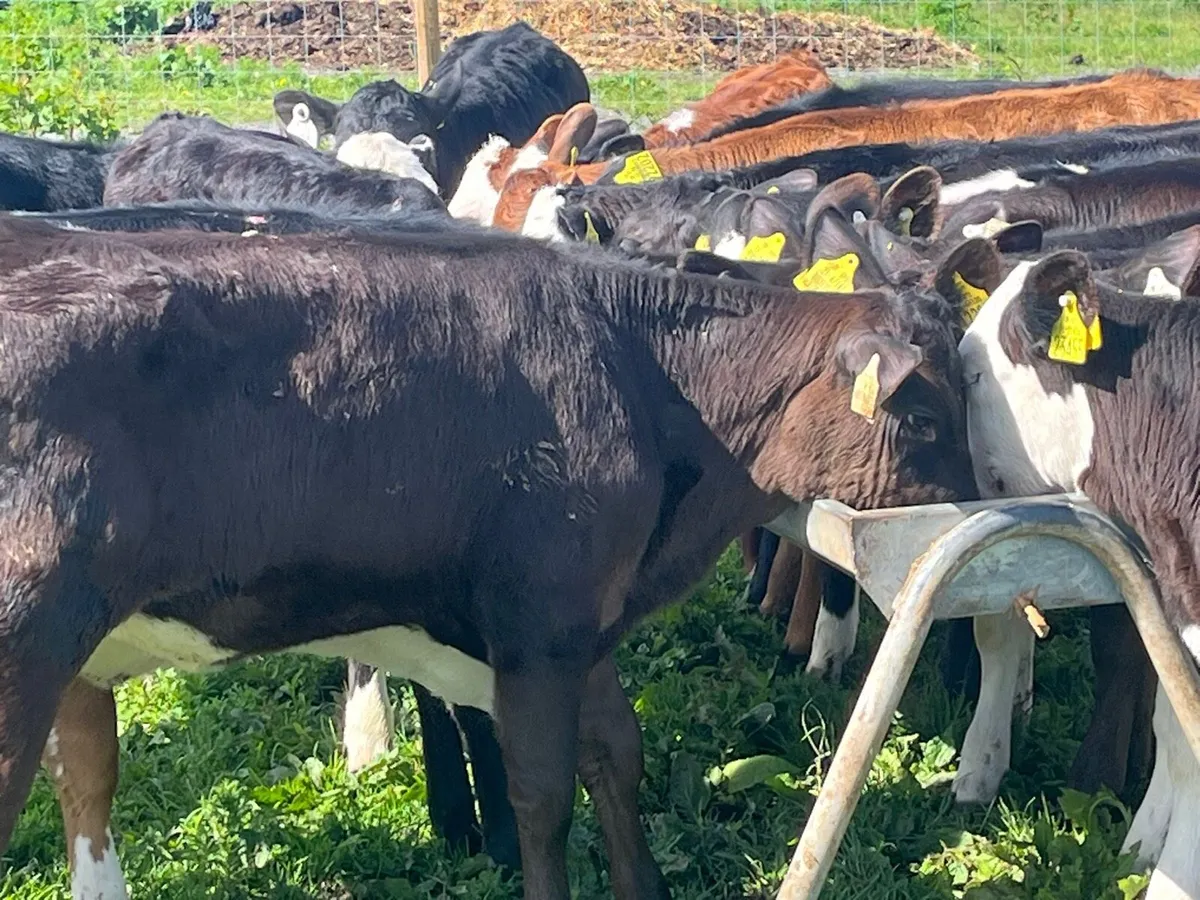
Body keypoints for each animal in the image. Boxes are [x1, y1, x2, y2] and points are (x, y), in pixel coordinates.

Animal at [0, 215, 975, 900]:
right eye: (925, 416)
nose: (976, 504)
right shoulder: (539, 619)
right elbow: (539, 794)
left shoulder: (572, 619)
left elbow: (616, 750)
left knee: (84, 785)